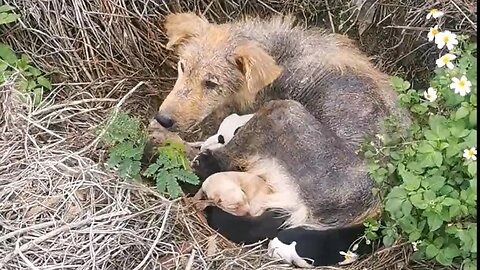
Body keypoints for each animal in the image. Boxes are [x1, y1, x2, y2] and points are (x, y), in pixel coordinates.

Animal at [152, 12, 410, 228]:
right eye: (182, 67)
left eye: (211, 83)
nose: (163, 119)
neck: (277, 55)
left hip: (282, 113)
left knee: (206, 162)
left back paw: (164, 141)